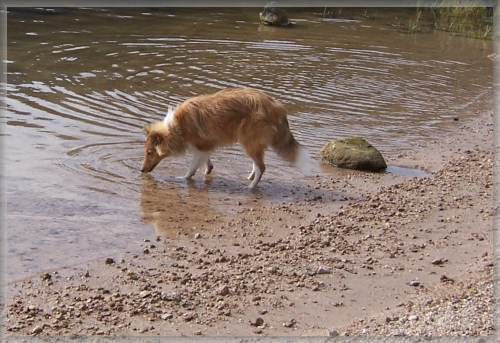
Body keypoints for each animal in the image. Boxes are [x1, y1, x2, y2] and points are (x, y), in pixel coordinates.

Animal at [141, 87, 310, 189]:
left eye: (149, 152)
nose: (141, 170)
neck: (178, 126)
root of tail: (276, 106)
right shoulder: (205, 147)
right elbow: (207, 163)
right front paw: (207, 170)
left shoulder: (202, 146)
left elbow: (191, 168)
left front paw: (183, 178)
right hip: (252, 143)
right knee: (257, 164)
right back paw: (249, 178)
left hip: (248, 141)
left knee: (261, 167)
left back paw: (250, 187)